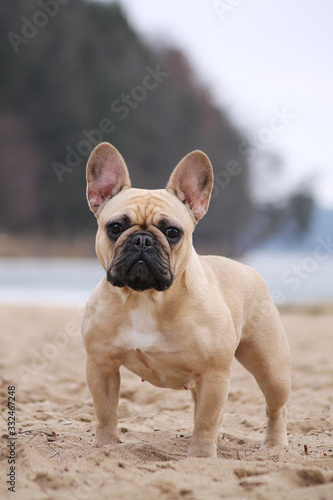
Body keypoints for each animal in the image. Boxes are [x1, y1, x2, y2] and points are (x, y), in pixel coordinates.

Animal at [81, 142, 290, 458]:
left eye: (172, 232)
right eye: (115, 227)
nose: (142, 239)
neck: (146, 297)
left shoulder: (214, 374)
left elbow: (206, 420)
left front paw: (201, 456)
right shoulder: (100, 365)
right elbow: (106, 411)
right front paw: (105, 446)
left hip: (271, 367)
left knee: (275, 406)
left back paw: (274, 446)